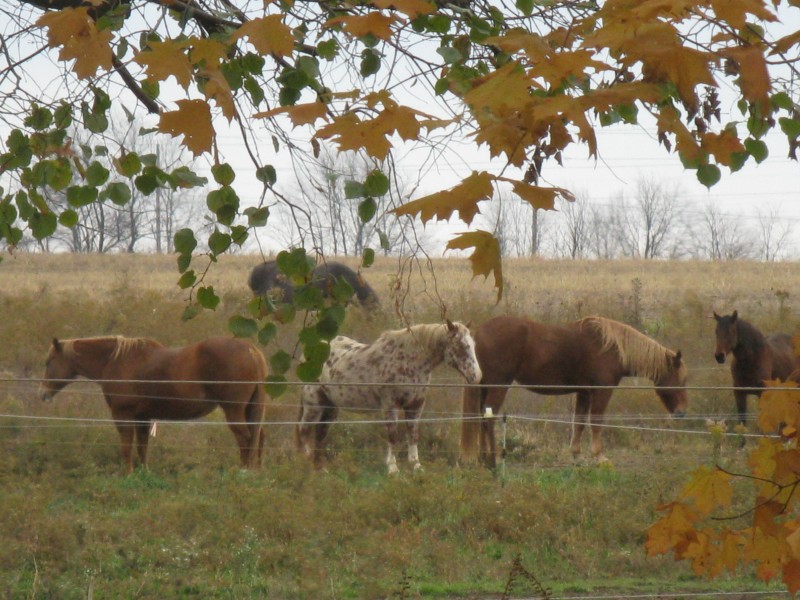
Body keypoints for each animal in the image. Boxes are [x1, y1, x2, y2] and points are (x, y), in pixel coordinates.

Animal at [38, 336, 269, 474]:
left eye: (48, 362)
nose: (43, 393)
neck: (117, 361)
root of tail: (251, 351)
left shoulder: (123, 415)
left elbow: (127, 445)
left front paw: (128, 474)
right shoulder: (143, 417)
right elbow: (142, 446)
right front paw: (143, 471)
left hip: (234, 410)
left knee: (245, 437)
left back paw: (244, 470)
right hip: (251, 409)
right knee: (258, 436)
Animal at [296, 320, 482, 474]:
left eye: (473, 345)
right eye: (461, 346)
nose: (476, 377)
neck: (408, 361)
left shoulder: (416, 405)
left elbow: (413, 435)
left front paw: (416, 466)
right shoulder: (390, 405)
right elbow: (393, 435)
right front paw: (393, 468)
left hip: (331, 407)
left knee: (320, 434)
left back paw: (321, 469)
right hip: (313, 404)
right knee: (303, 431)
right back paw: (305, 463)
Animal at [460, 315, 688, 468]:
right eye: (682, 380)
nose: (682, 412)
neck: (612, 348)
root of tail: (479, 332)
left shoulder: (584, 392)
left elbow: (578, 423)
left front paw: (577, 455)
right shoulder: (602, 392)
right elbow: (596, 422)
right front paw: (600, 457)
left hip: (485, 387)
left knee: (481, 418)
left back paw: (482, 458)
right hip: (498, 386)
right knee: (488, 419)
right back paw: (493, 459)